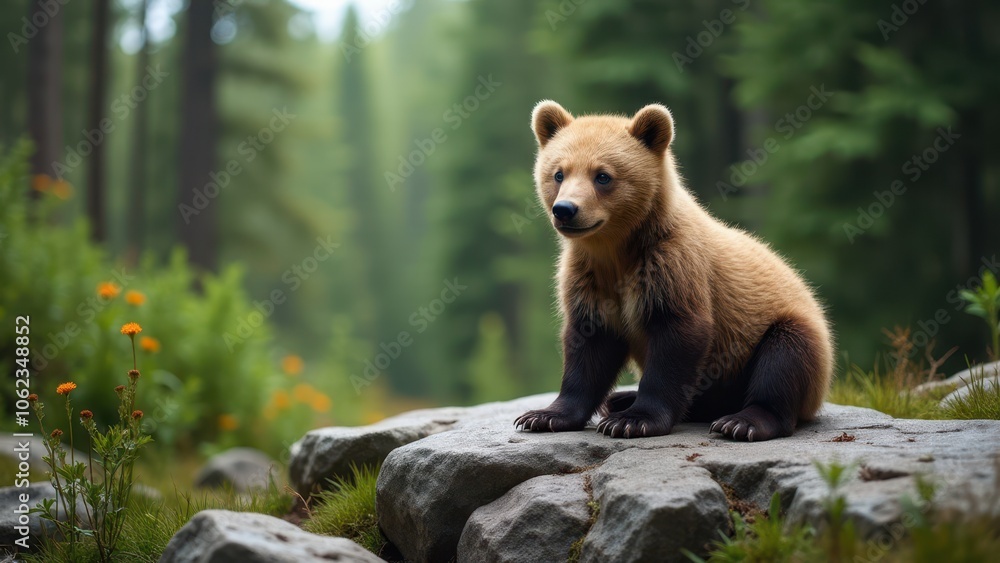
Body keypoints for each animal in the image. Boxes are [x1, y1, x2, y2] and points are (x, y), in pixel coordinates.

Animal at [514, 101, 834, 441]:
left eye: (602, 176)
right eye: (559, 173)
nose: (565, 210)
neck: (617, 251)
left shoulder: (672, 267)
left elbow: (677, 338)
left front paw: (634, 420)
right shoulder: (588, 279)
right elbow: (588, 347)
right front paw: (543, 416)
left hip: (785, 333)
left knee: (784, 356)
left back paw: (741, 421)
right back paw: (619, 399)